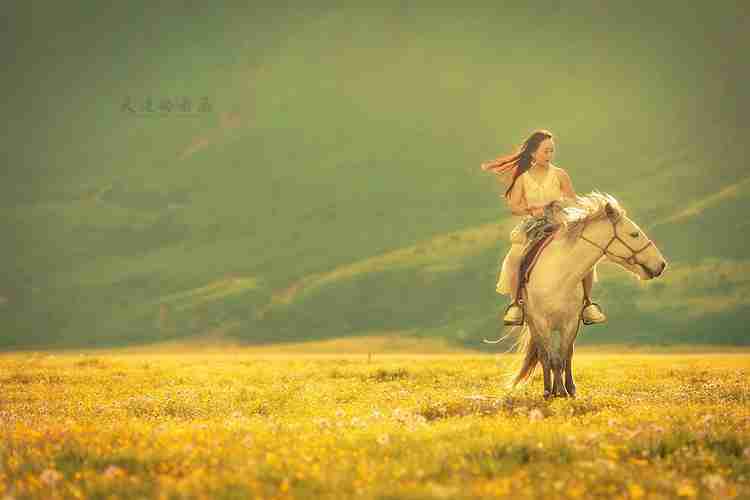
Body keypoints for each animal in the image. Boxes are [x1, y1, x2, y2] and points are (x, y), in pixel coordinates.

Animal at [488, 191, 668, 398]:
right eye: (634, 234)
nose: (661, 264)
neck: (560, 275)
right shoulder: (541, 322)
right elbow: (551, 357)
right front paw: (556, 392)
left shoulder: (571, 322)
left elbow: (565, 355)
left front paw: (568, 390)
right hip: (533, 323)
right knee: (543, 355)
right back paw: (548, 390)